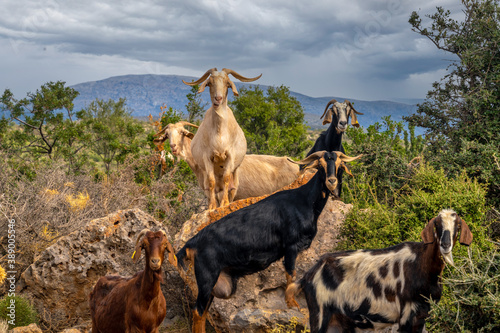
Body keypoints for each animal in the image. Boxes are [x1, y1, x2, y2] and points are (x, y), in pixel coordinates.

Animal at [177, 150, 364, 332]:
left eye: (339, 164)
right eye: (320, 164)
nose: (331, 181)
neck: (304, 201)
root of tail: (190, 245)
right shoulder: (291, 246)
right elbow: (291, 273)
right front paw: (292, 304)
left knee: (203, 312)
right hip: (207, 277)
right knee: (198, 311)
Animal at [183, 67, 262, 209]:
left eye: (227, 84)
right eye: (209, 83)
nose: (218, 99)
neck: (219, 133)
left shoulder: (230, 156)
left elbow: (226, 178)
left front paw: (224, 204)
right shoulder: (207, 157)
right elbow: (211, 181)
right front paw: (212, 207)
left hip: (236, 177)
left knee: (231, 188)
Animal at [288, 209, 474, 330]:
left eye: (457, 226)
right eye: (437, 225)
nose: (445, 244)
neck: (422, 265)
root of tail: (307, 276)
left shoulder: (422, 315)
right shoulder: (406, 316)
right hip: (319, 313)